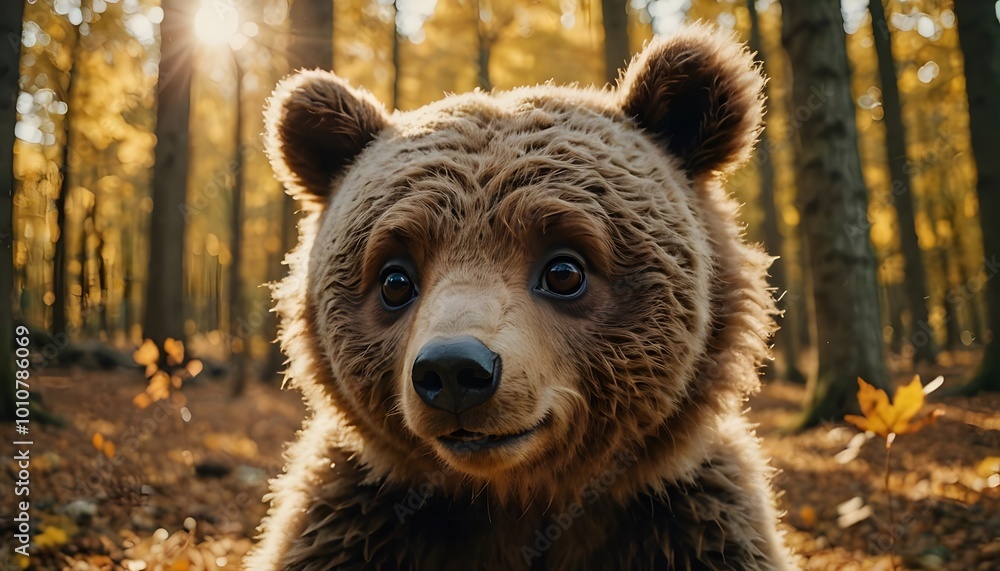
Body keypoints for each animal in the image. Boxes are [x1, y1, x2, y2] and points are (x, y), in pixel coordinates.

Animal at [246, 25, 793, 571]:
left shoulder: (690, 524)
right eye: (394, 280)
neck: (514, 499)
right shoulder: (353, 523)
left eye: (565, 271)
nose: (453, 370)